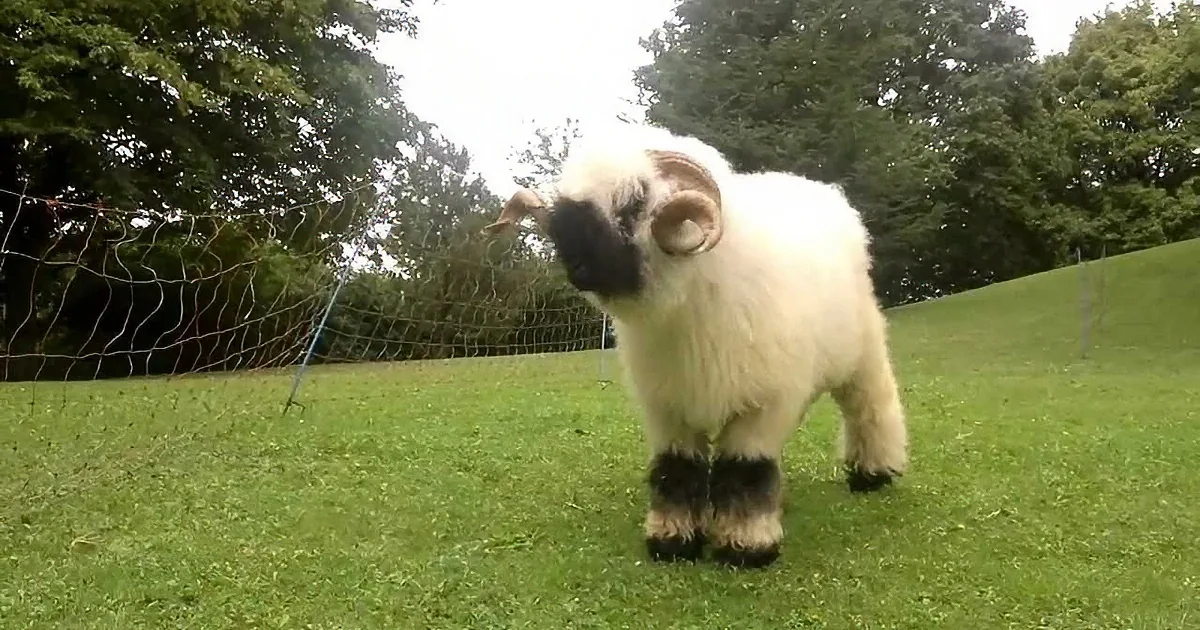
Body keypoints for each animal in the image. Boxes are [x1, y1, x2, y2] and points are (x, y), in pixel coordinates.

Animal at [482, 124, 909, 568]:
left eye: (634, 202)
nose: (576, 269)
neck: (688, 303)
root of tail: (818, 189)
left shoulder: (762, 404)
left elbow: (747, 469)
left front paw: (746, 546)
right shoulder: (669, 406)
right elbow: (677, 468)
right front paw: (672, 540)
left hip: (863, 354)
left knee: (871, 407)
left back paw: (873, 474)